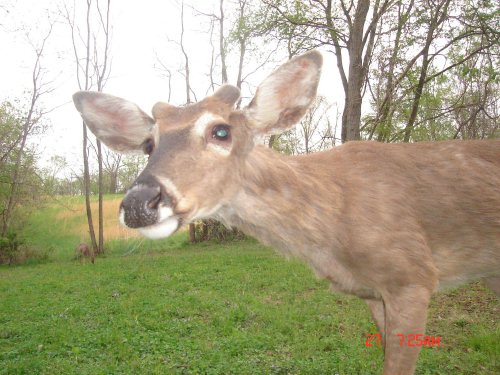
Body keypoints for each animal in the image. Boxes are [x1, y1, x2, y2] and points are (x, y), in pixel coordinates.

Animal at [71, 50, 500, 375]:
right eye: (149, 144)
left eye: (221, 131)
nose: (137, 204)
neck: (334, 226)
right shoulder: (375, 294)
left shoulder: (412, 276)